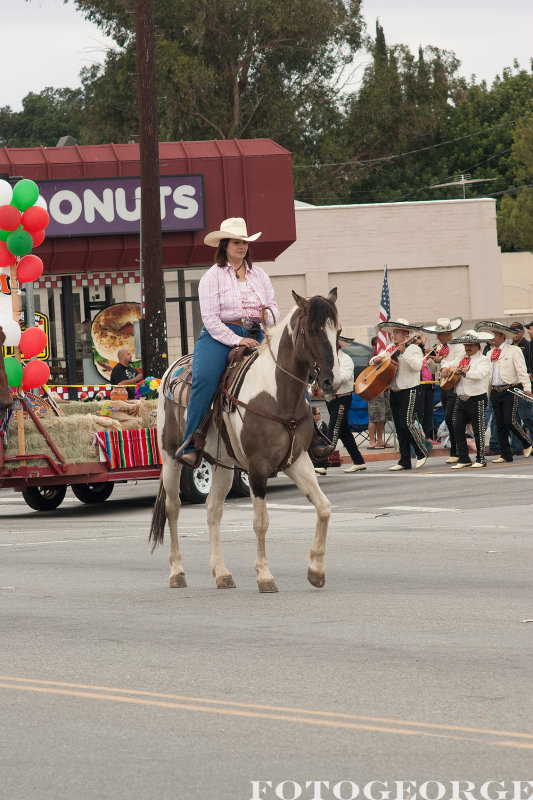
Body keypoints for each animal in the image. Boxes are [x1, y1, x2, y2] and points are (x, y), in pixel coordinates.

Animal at [150, 290, 340, 592]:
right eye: (312, 331)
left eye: (338, 332)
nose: (332, 381)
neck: (277, 395)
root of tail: (171, 370)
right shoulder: (258, 467)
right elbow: (261, 522)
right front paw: (264, 575)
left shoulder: (297, 461)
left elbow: (323, 508)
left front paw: (316, 570)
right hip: (171, 458)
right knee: (173, 508)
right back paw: (177, 572)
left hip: (223, 466)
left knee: (213, 510)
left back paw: (221, 573)